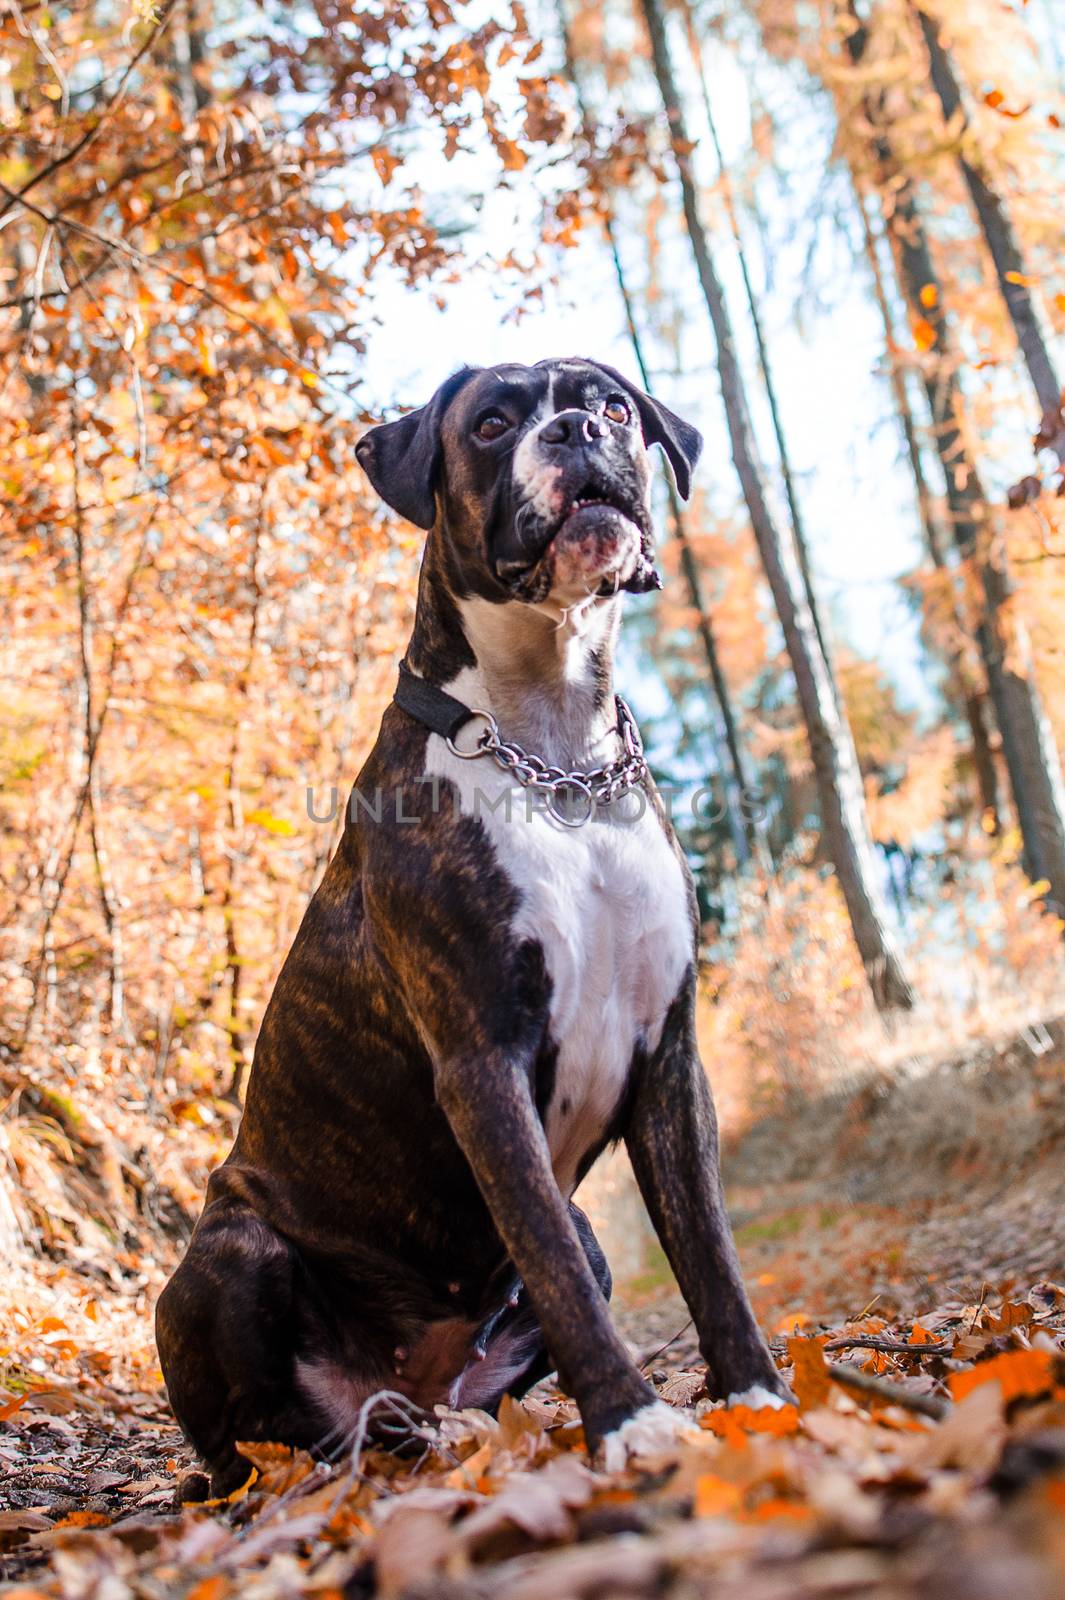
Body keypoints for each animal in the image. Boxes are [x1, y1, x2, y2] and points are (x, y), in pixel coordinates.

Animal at [157, 356, 786, 1491]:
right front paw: (631, 1423)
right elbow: (544, 1250)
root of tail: (401, 1398)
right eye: (492, 424)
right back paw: (291, 1476)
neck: (555, 749)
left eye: (614, 404)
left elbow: (708, 1251)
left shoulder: (671, 1060)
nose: (578, 430)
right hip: (234, 1255)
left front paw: (756, 1400)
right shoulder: (483, 1063)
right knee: (247, 1442)